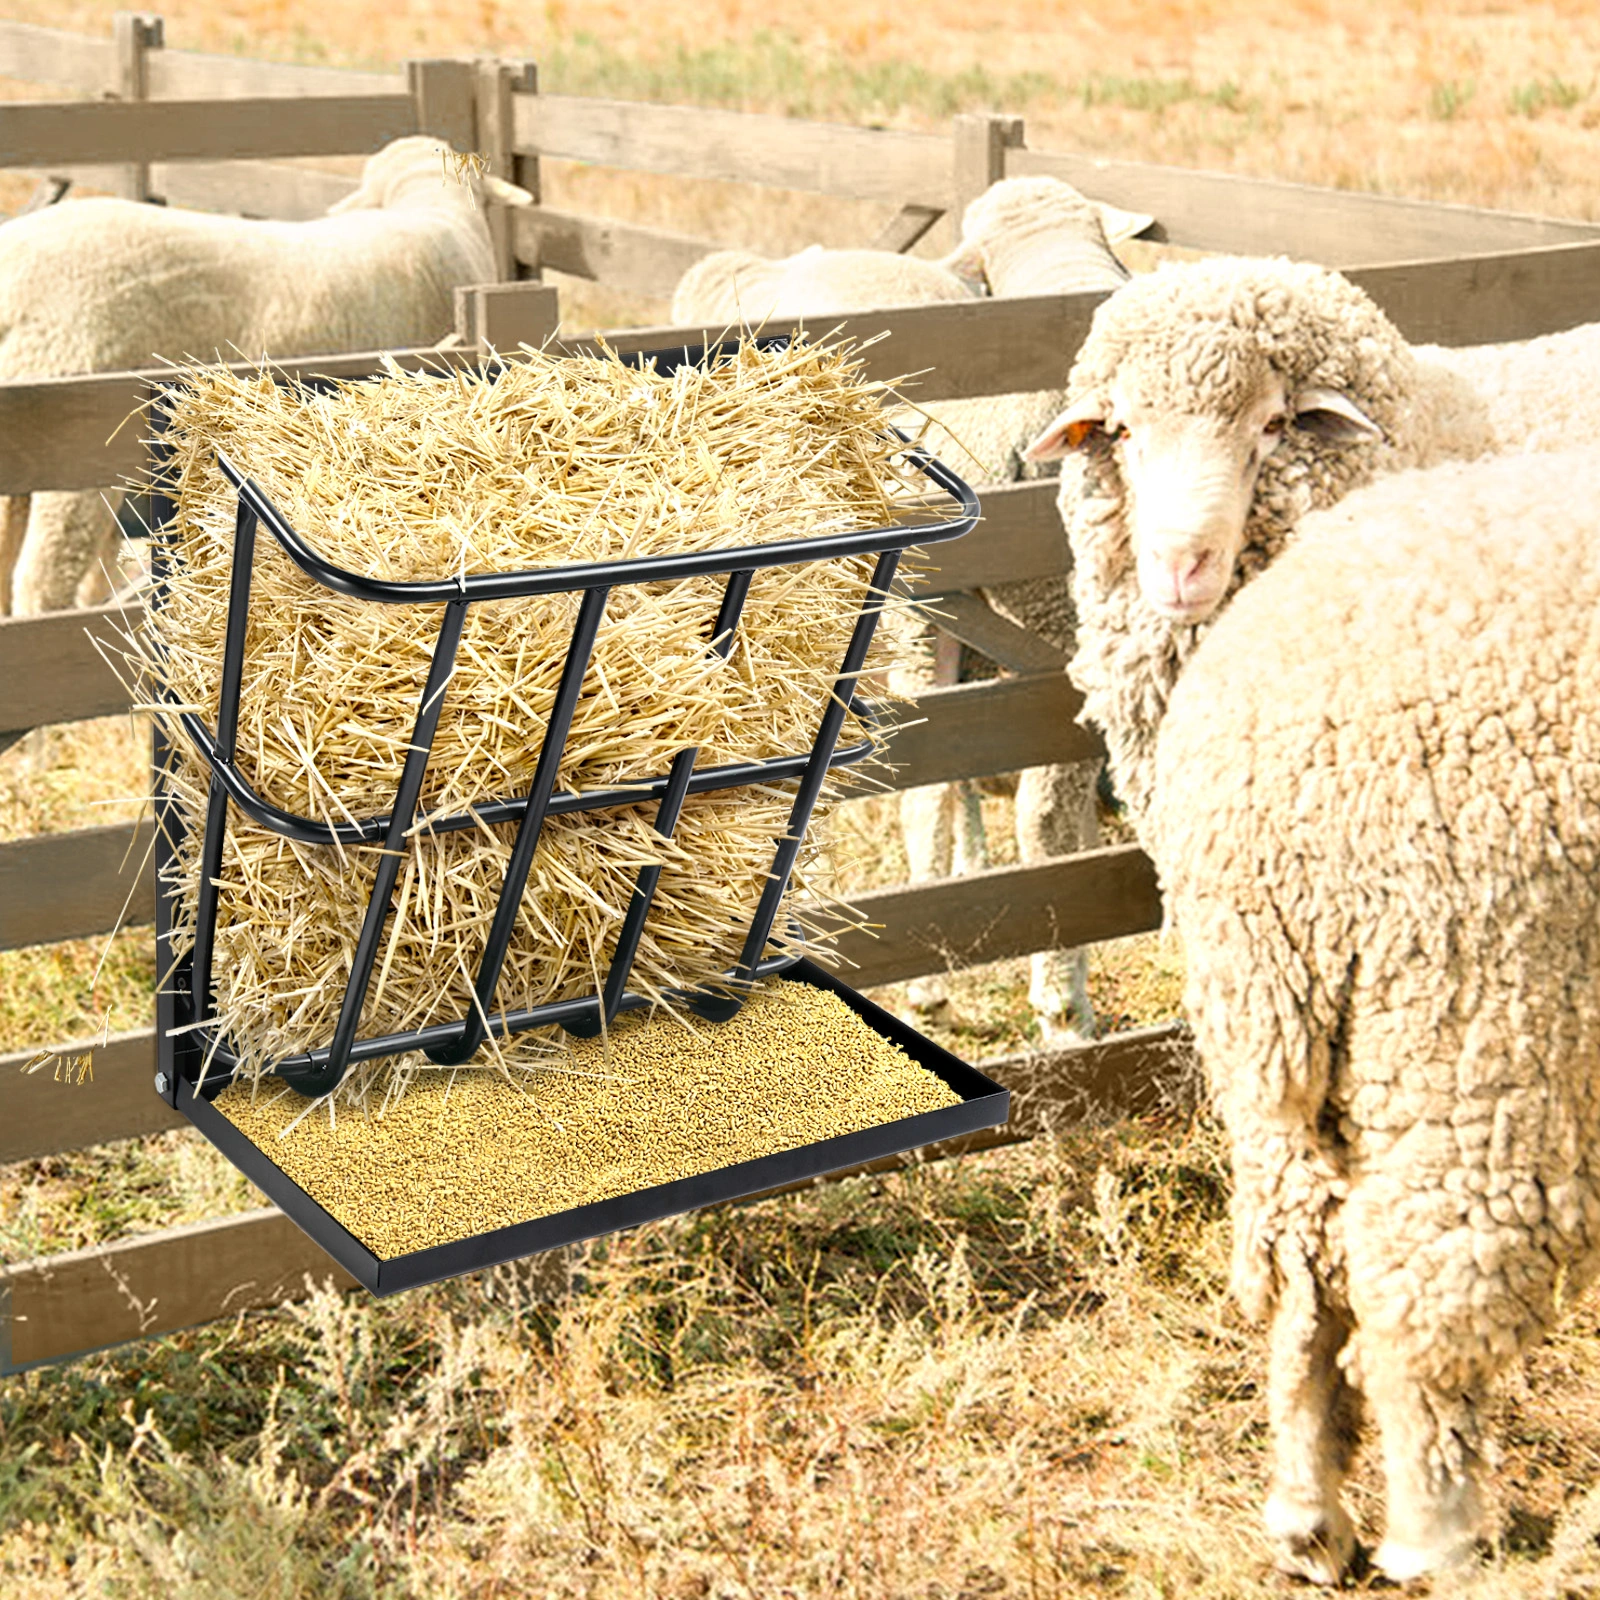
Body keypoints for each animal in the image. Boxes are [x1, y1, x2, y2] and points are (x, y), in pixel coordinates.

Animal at [1147, 447, 1600, 1582]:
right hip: (1478, 1033)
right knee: (1421, 1294)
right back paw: (1434, 1536)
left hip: (1290, 1062)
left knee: (1303, 1278)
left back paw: (1308, 1522)